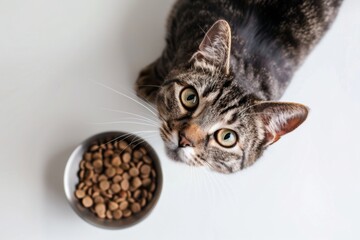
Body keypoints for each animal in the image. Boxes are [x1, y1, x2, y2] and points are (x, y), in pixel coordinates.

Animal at [135, 0, 344, 172]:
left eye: (227, 137)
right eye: (190, 97)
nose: (185, 140)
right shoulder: (179, 18)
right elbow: (167, 55)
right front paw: (150, 82)